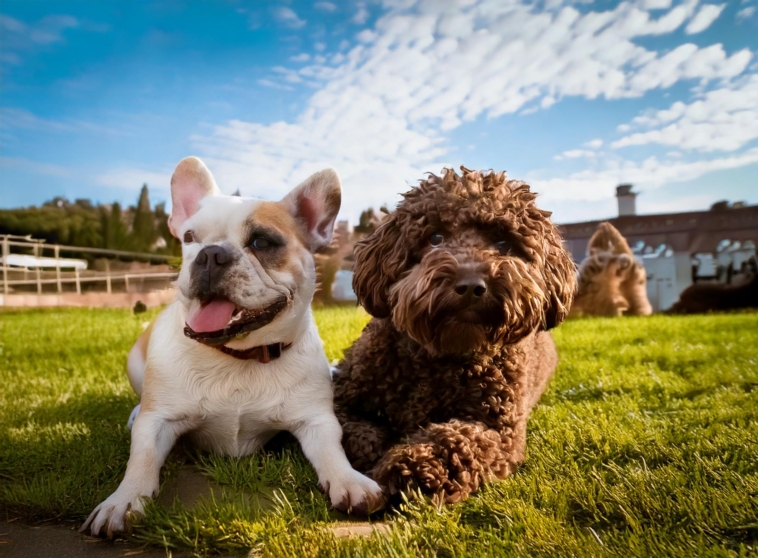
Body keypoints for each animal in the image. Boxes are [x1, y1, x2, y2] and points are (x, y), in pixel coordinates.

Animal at [81, 156, 386, 540]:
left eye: (262, 242)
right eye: (189, 238)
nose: (210, 254)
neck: (237, 355)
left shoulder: (317, 421)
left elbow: (333, 452)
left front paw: (349, 480)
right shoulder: (158, 422)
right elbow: (142, 458)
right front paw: (123, 500)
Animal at [332, 166, 576, 508]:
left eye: (503, 241)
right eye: (435, 237)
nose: (471, 285)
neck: (439, 356)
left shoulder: (502, 432)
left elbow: (459, 439)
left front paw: (412, 466)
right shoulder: (343, 394)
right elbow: (349, 425)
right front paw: (372, 445)